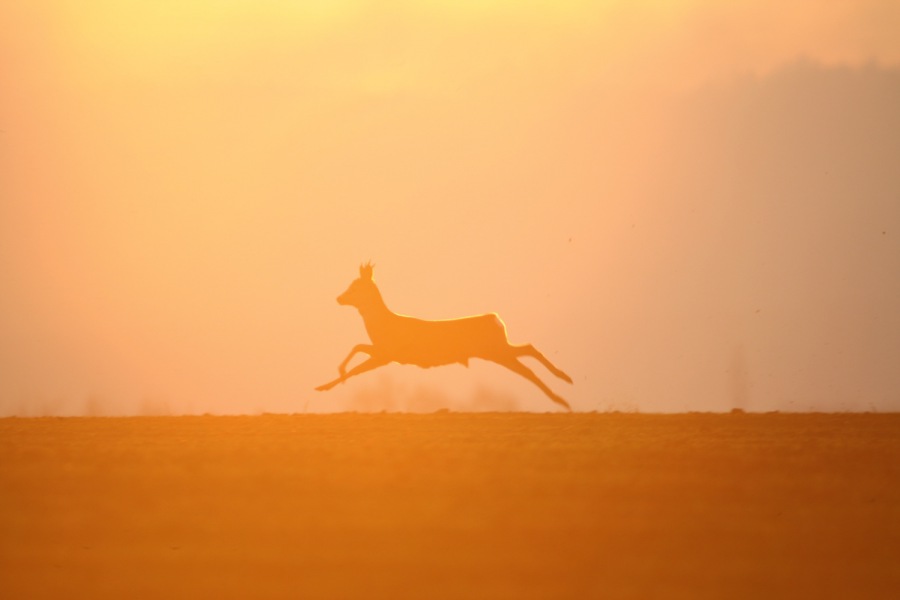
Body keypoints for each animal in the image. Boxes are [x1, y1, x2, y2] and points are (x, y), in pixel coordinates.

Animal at [315, 263, 573, 410]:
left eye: (355, 287)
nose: (339, 298)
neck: (382, 325)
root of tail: (496, 319)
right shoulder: (384, 353)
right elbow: (357, 349)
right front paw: (329, 381)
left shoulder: (388, 354)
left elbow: (356, 360)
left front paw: (327, 383)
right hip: (497, 349)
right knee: (529, 348)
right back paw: (564, 383)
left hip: (495, 351)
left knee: (527, 366)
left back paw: (561, 396)